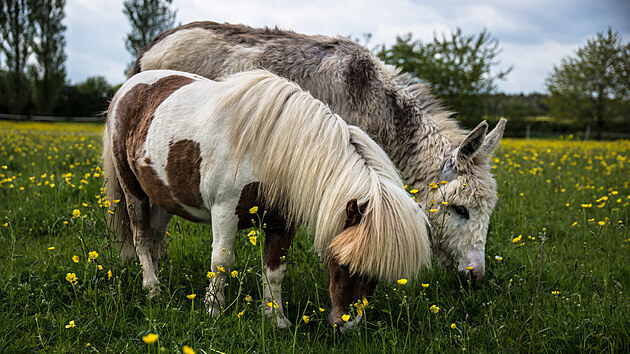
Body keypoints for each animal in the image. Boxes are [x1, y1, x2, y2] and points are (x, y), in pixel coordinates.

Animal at [103, 69, 432, 330]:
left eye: (376, 276)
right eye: (345, 264)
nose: (347, 326)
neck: (271, 149)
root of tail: (128, 88)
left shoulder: (282, 222)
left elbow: (275, 270)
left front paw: (276, 319)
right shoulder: (225, 212)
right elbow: (221, 262)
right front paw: (212, 310)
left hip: (163, 193)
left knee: (157, 235)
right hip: (132, 190)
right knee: (142, 237)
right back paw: (153, 288)